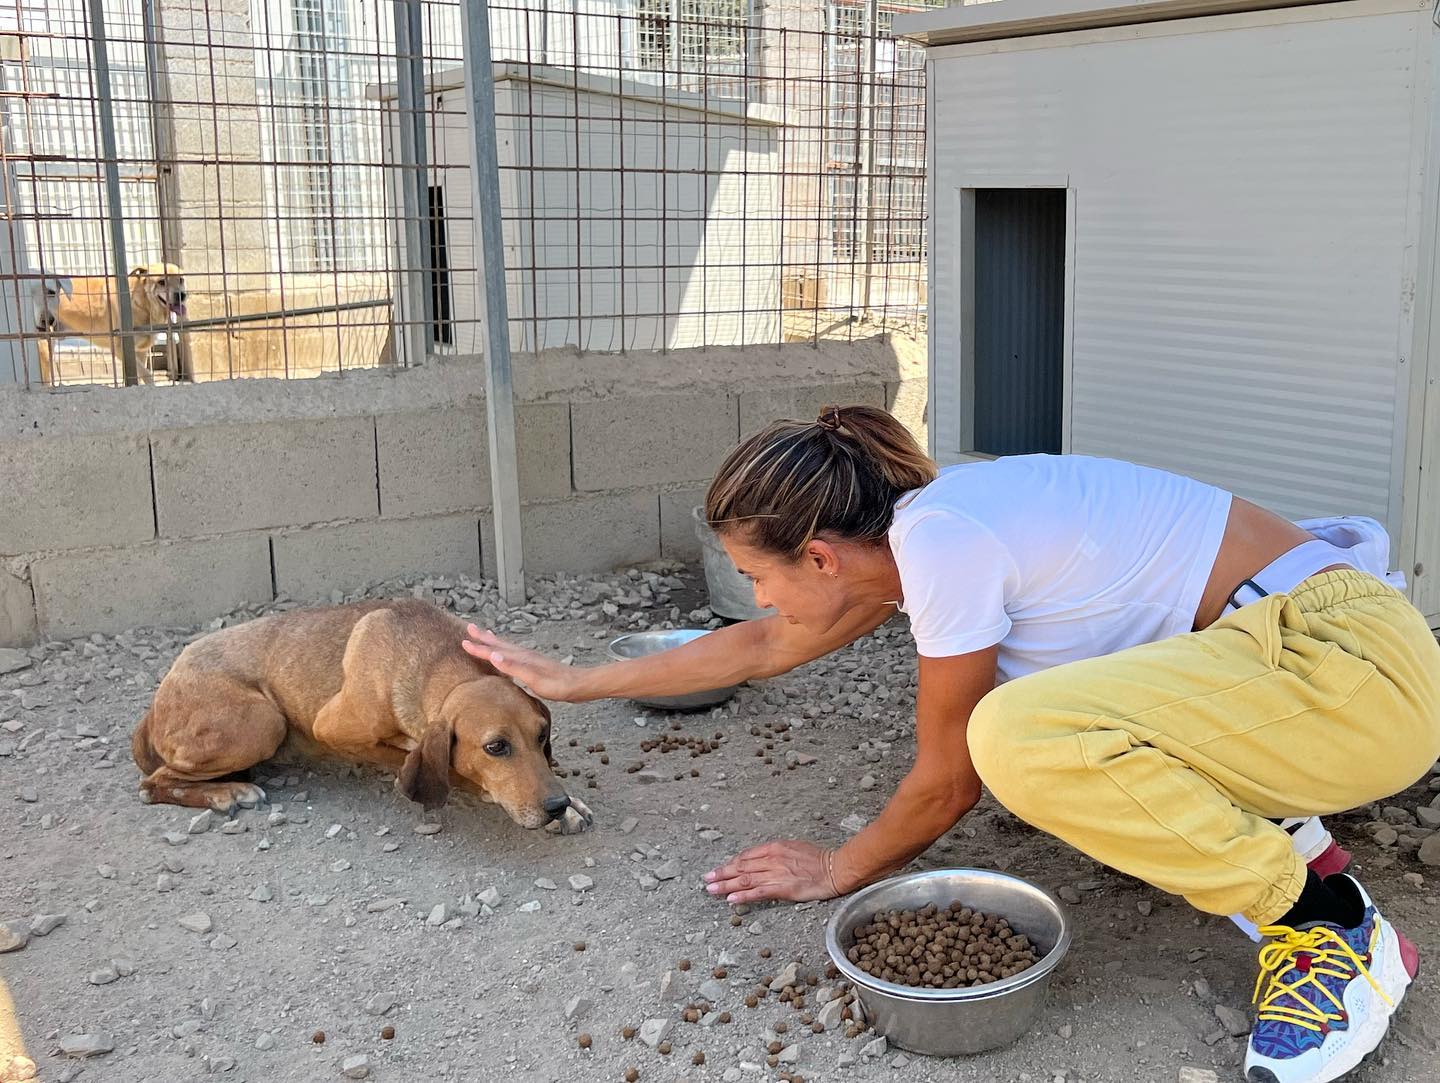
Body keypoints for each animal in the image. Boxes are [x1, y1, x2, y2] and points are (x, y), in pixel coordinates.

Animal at [131, 596, 590, 835]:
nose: (555, 804)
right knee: (152, 785)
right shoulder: (334, 729)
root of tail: (157, 699)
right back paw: (227, 792)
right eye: (495, 747)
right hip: (264, 723)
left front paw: (571, 804)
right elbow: (439, 768)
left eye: (542, 736)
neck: (435, 660)